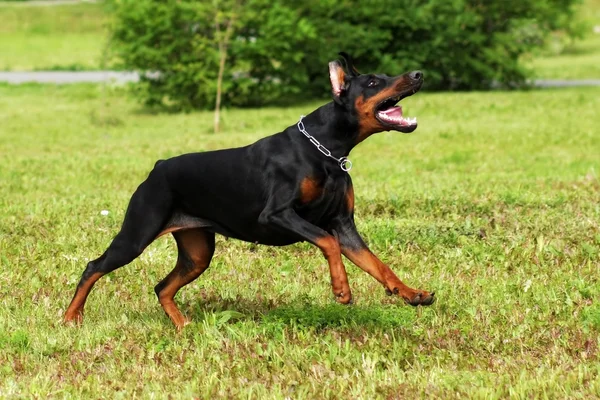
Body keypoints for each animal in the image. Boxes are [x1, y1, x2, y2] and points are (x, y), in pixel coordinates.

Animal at [63, 51, 434, 330]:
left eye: (385, 75)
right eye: (372, 82)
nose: (418, 74)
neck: (326, 149)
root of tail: (158, 167)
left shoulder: (344, 224)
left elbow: (377, 264)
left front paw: (411, 293)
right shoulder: (278, 214)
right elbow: (327, 243)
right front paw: (341, 290)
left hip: (197, 252)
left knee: (162, 286)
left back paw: (182, 325)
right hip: (137, 233)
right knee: (93, 266)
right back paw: (71, 317)